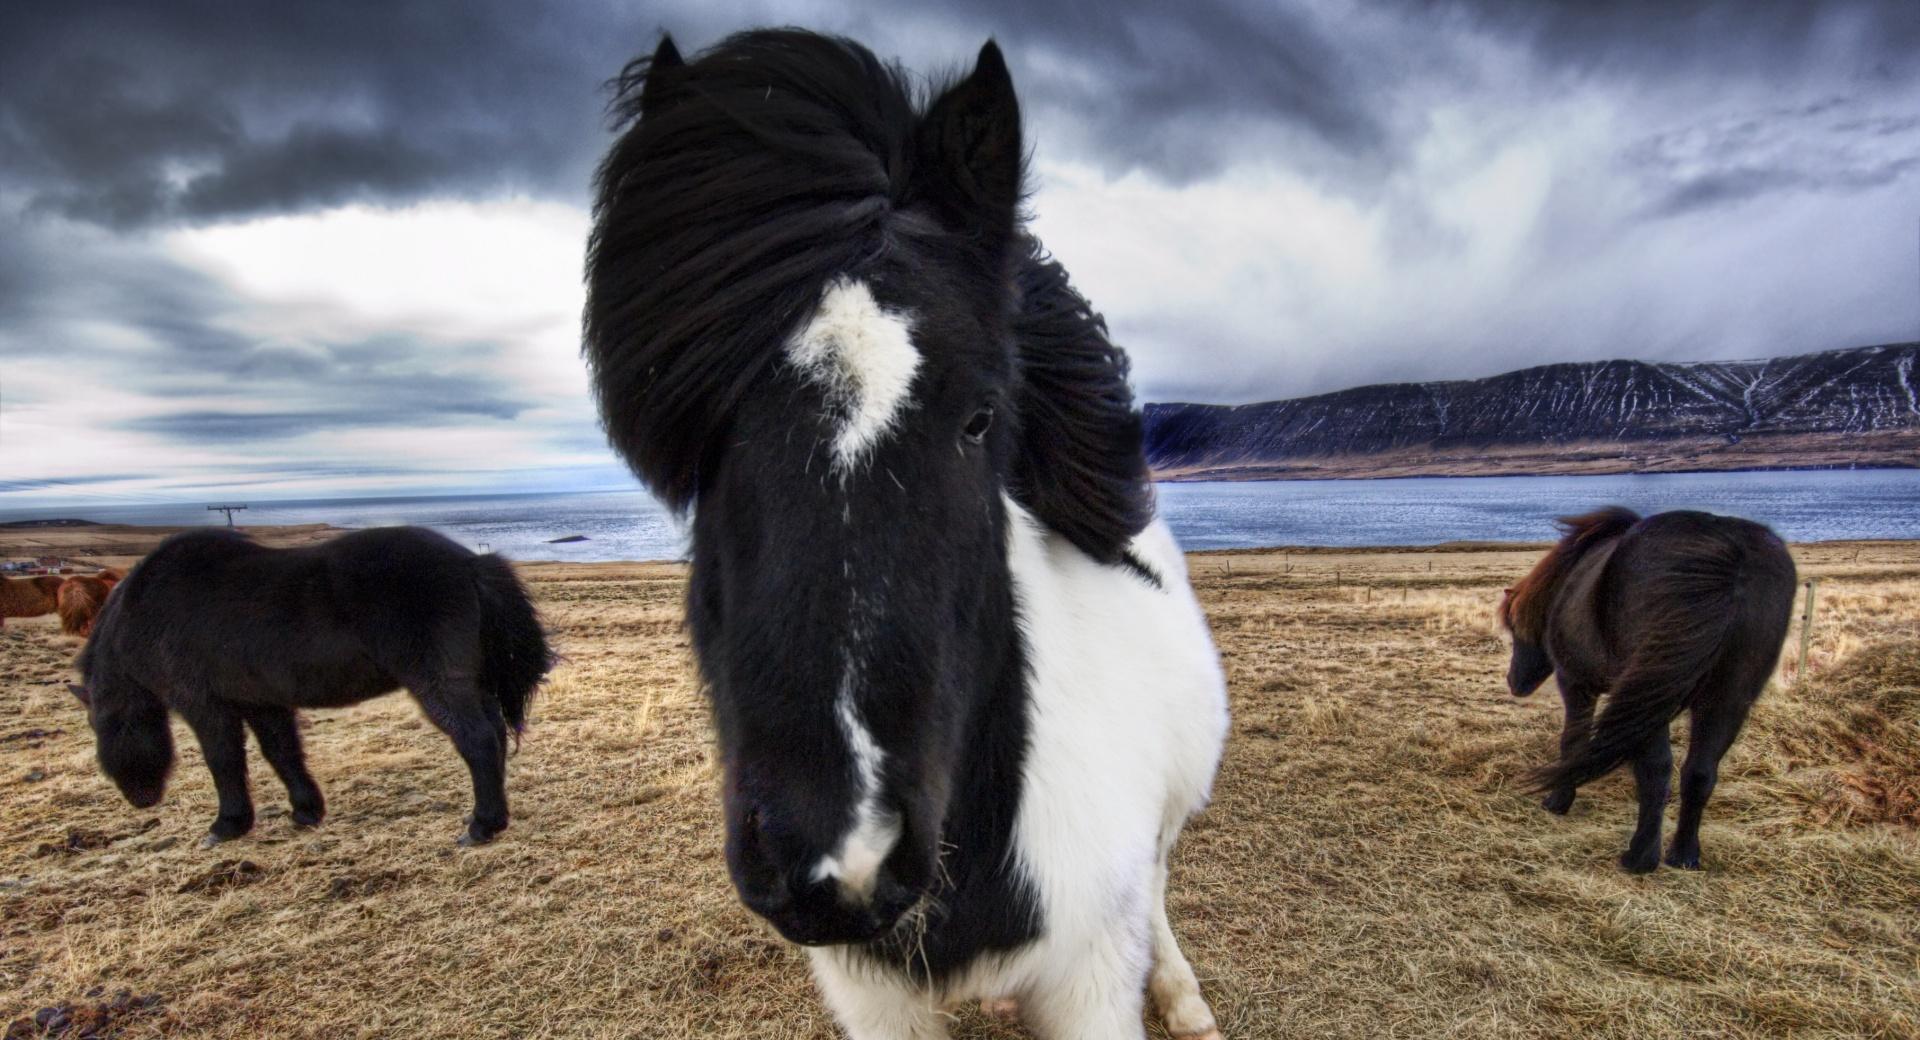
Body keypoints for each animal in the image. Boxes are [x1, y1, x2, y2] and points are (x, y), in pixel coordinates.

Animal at [67, 529, 549, 848]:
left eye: (102, 725)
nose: (140, 797)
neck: (144, 613)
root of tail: (470, 563)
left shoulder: (205, 704)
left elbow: (223, 761)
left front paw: (227, 825)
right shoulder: (261, 701)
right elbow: (282, 753)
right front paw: (305, 811)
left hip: (439, 684)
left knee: (478, 740)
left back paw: (481, 826)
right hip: (471, 682)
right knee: (494, 735)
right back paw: (494, 816)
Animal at [1497, 506, 1797, 871]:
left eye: (1514, 629)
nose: (1514, 683)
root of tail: (1733, 556)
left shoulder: (1575, 682)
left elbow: (1572, 741)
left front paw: (1558, 800)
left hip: (1653, 696)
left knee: (1658, 769)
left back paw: (1639, 857)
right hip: (1724, 698)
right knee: (1700, 773)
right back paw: (1683, 855)